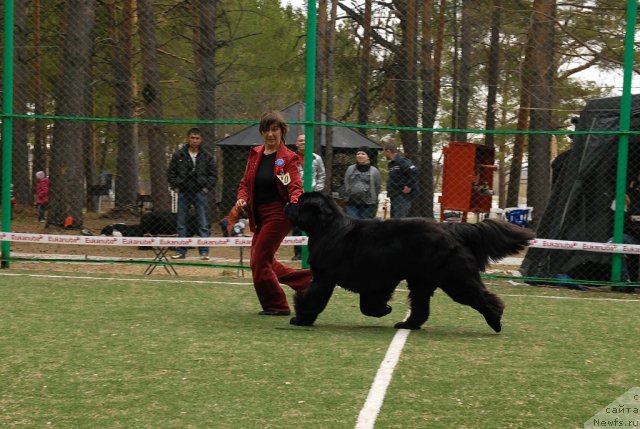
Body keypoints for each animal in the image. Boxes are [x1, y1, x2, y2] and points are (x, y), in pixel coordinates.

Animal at [284, 191, 536, 332]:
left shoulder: (324, 279)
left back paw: (495, 321)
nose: (287, 204)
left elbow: (311, 298)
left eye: (299, 202)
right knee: (421, 308)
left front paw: (301, 318)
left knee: (482, 298)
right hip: (421, 281)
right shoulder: (375, 282)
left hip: (455, 280)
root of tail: (451, 228)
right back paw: (408, 324)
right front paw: (384, 310)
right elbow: (368, 304)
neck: (326, 228)